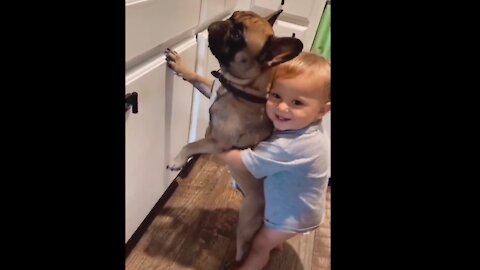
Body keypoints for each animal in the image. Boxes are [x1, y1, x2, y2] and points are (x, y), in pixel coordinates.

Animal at [164, 10, 300, 262]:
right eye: (233, 16)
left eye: (237, 35)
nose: (219, 23)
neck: (242, 90)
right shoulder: (210, 87)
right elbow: (198, 77)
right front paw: (180, 65)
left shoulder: (216, 141)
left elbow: (191, 145)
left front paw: (177, 161)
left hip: (247, 224)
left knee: (246, 248)